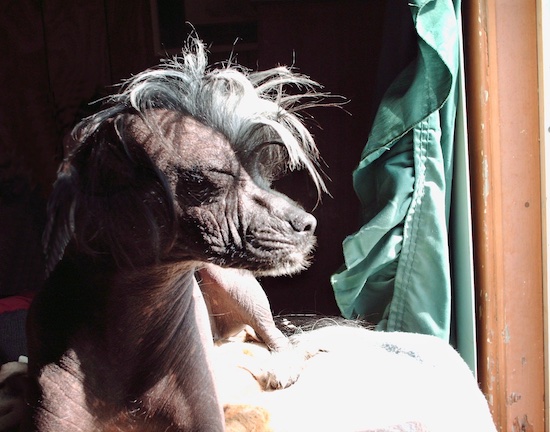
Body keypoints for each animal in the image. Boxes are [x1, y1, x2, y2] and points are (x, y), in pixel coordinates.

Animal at [23, 38, 330, 432]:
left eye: (265, 176)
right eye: (207, 181)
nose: (309, 224)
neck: (134, 318)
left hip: (236, 284)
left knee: (276, 335)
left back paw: (283, 366)